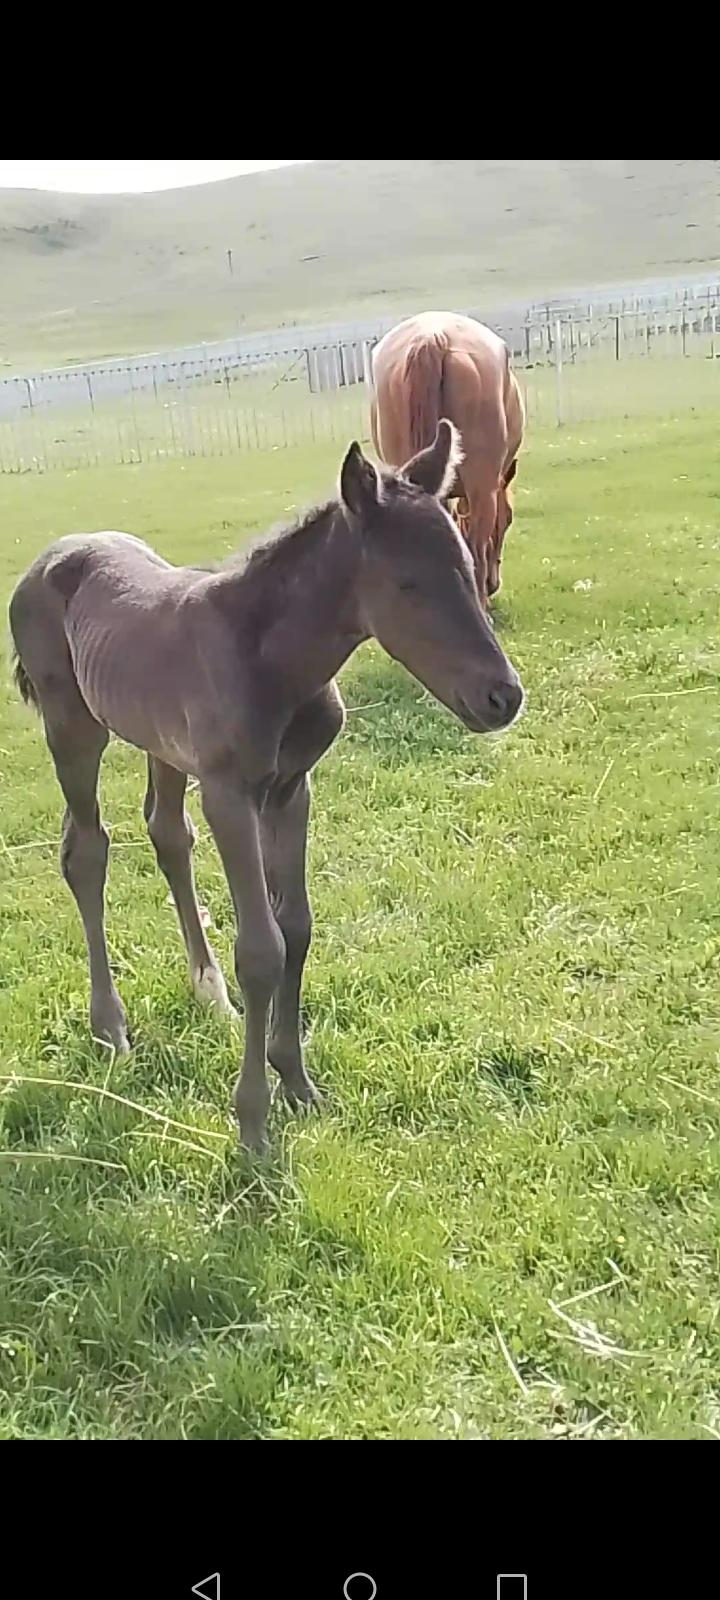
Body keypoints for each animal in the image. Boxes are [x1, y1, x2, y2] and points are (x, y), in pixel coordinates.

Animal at [9, 421, 523, 1153]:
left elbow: (297, 928)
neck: (270, 659)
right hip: (72, 726)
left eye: (466, 563)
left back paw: (208, 990)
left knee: (167, 833)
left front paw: (297, 1082)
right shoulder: (230, 794)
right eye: (406, 584)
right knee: (86, 850)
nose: (503, 696)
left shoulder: (291, 789)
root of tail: (48, 556)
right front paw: (253, 1122)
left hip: (161, 745)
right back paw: (110, 1026)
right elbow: (261, 947)